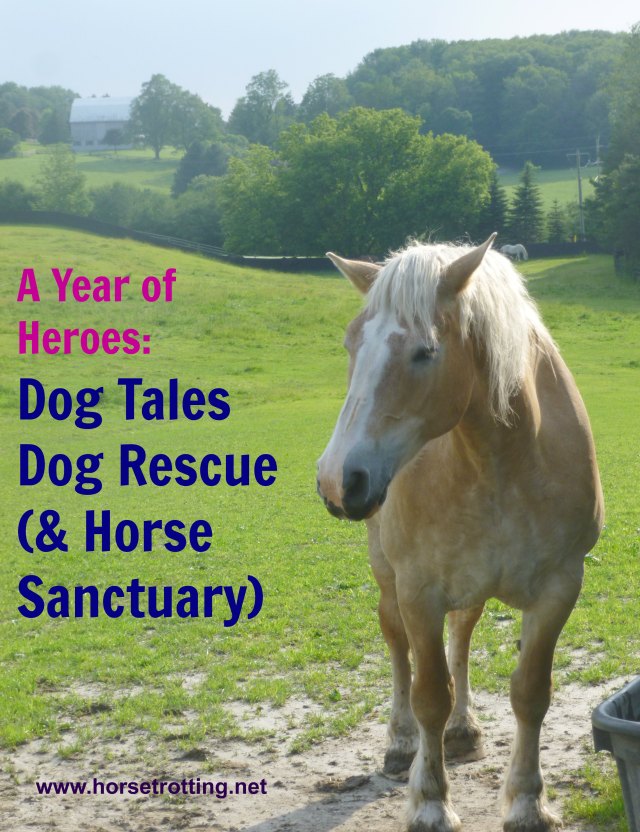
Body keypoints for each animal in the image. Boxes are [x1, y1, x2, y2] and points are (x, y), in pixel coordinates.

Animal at [316, 234, 603, 832]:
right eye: (351, 343)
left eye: (425, 352)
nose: (337, 480)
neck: (499, 462)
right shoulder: (418, 591)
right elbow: (428, 693)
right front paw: (429, 802)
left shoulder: (560, 588)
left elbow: (530, 693)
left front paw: (527, 802)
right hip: (387, 575)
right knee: (397, 646)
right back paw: (402, 745)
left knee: (463, 637)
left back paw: (464, 730)